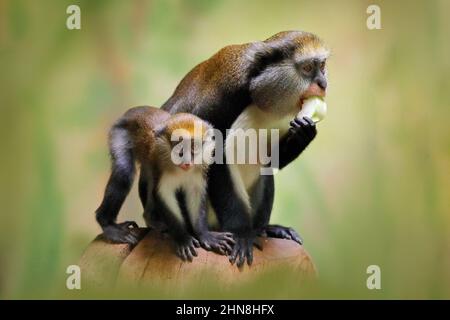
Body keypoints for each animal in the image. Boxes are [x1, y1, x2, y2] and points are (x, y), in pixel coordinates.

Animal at [96, 106, 234, 262]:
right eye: (179, 147)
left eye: (194, 147)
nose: (186, 162)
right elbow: (163, 194)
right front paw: (183, 239)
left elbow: (196, 194)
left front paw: (205, 235)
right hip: (119, 133)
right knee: (123, 173)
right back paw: (108, 225)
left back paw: (152, 219)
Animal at [160, 30, 328, 266]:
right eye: (307, 68)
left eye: (322, 66)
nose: (323, 83)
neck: (258, 92)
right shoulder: (221, 99)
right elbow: (214, 161)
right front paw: (240, 233)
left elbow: (272, 162)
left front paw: (305, 133)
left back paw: (264, 229)